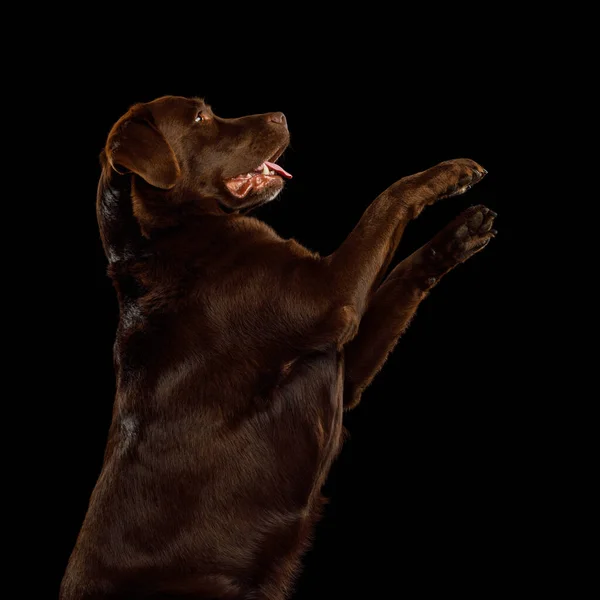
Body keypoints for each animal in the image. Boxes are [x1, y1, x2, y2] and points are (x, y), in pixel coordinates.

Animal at [59, 96, 496, 596]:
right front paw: (447, 172)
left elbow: (405, 273)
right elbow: (386, 199)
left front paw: (462, 232)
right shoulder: (332, 296)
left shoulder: (344, 369)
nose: (281, 116)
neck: (165, 242)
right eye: (200, 118)